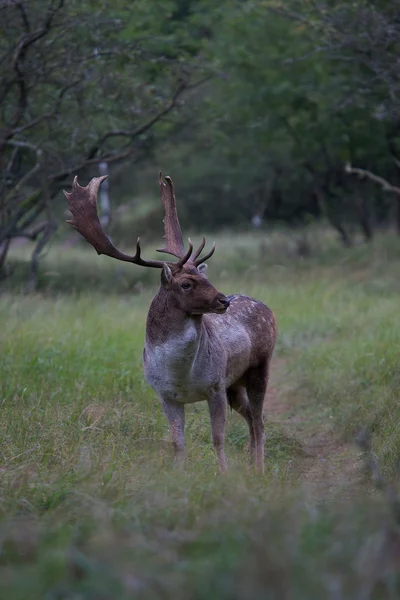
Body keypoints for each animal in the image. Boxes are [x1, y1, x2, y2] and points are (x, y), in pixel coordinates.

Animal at [65, 173, 278, 474]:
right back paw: (250, 465)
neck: (181, 374)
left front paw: (223, 475)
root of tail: (267, 308)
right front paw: (179, 476)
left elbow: (218, 438)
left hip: (259, 367)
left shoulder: (214, 386)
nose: (223, 300)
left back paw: (259, 470)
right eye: (187, 284)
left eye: (206, 278)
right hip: (234, 384)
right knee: (251, 416)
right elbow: (177, 443)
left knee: (259, 420)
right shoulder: (166, 396)